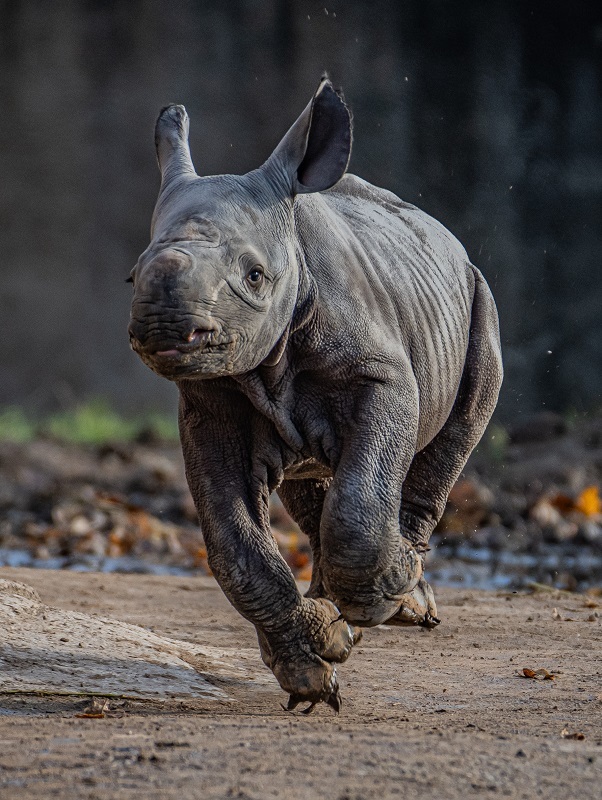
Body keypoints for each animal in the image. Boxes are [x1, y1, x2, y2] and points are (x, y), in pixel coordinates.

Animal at [127, 76, 502, 712]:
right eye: (132, 276)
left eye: (254, 276)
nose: (164, 325)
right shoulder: (209, 404)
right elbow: (236, 548)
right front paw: (314, 663)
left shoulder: (383, 376)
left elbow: (357, 507)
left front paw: (382, 595)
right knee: (313, 486)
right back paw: (340, 616)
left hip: (477, 295)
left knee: (456, 426)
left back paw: (406, 597)